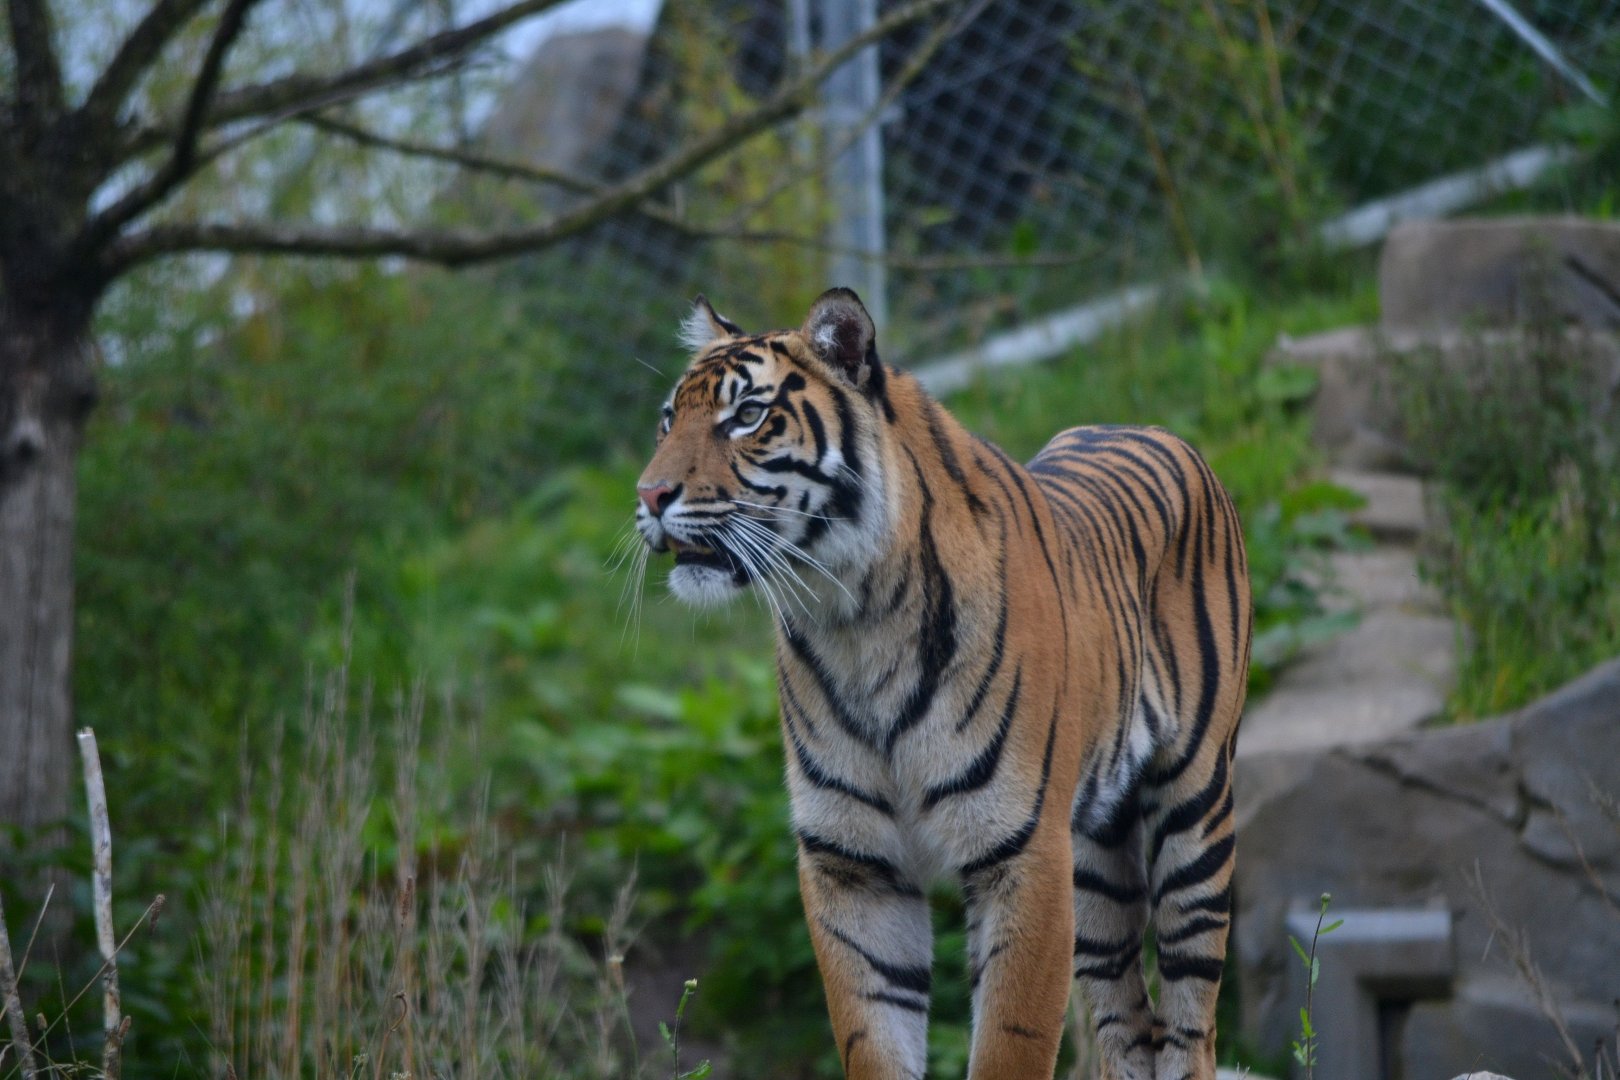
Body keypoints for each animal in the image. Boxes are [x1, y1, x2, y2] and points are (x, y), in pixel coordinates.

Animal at [634, 288, 1251, 1080]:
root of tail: (1154, 429)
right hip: (1097, 860)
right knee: (1125, 1022)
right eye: (667, 419)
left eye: (746, 416)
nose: (650, 494)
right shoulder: (853, 864)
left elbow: (1011, 1043)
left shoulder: (1021, 852)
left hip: (1195, 817)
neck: (850, 620)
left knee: (1189, 1020)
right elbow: (874, 1036)